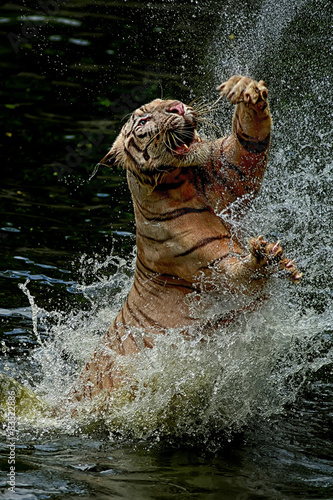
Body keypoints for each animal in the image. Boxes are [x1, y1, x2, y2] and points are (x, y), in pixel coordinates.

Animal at [70, 76, 300, 400]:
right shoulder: (212, 269)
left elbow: (250, 140)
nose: (177, 107)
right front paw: (264, 257)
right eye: (143, 120)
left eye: (166, 101)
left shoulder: (232, 166)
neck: (184, 181)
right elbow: (241, 276)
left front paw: (245, 89)